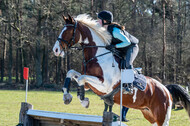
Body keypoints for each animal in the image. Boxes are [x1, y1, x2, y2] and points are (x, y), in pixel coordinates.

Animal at [52, 14, 190, 126]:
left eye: (68, 31)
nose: (56, 50)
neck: (97, 54)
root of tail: (166, 89)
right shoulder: (88, 84)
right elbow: (72, 73)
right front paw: (67, 96)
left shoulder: (105, 85)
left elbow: (81, 78)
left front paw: (84, 101)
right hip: (149, 114)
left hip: (162, 117)